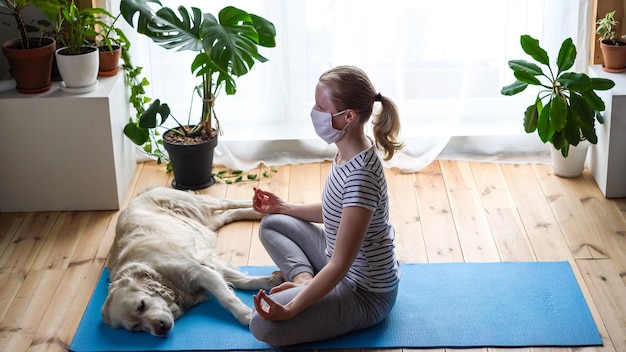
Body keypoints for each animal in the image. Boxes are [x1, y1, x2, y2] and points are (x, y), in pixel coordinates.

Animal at [100, 188, 282, 336]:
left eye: (141, 305)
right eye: (136, 327)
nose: (159, 329)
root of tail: (140, 194)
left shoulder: (199, 270)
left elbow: (227, 298)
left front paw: (246, 315)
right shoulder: (206, 264)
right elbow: (241, 280)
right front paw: (272, 280)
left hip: (197, 203)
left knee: (227, 202)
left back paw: (264, 205)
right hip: (206, 222)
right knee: (230, 214)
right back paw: (259, 212)